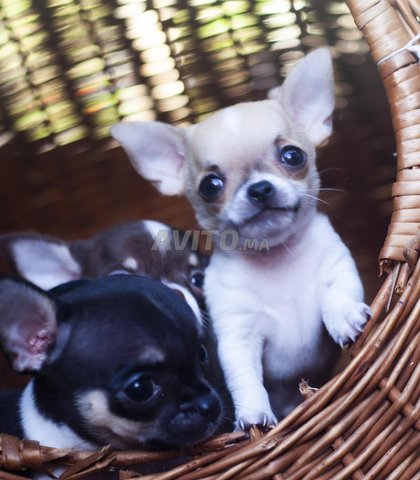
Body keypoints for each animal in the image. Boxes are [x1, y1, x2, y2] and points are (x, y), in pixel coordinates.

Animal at [111, 48, 371, 429]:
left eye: (293, 156)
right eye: (210, 186)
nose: (259, 188)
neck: (276, 258)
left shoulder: (336, 266)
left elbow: (338, 293)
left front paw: (347, 317)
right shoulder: (237, 337)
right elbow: (245, 378)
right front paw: (254, 415)